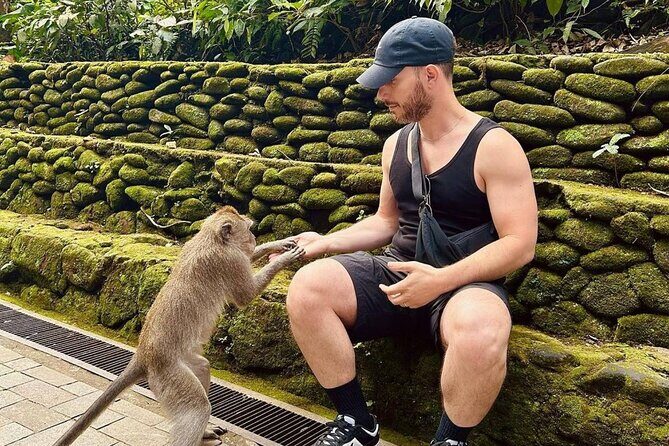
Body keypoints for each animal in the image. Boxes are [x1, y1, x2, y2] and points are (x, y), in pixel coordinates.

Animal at [53, 205, 305, 446]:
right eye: (249, 229)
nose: (253, 238)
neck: (210, 238)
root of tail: (143, 355)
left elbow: (250, 258)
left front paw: (281, 244)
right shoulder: (229, 260)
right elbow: (246, 295)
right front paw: (285, 258)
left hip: (183, 361)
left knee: (202, 367)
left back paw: (204, 432)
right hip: (168, 376)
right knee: (197, 408)